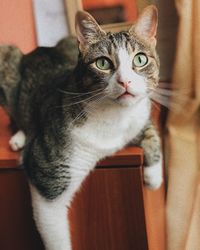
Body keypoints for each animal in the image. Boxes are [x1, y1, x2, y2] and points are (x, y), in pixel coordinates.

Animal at [0, 5, 162, 250]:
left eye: (141, 59)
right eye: (103, 63)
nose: (125, 82)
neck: (115, 116)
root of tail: (40, 49)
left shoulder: (139, 114)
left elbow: (152, 133)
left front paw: (154, 177)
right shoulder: (47, 177)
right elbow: (54, 228)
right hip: (6, 56)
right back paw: (19, 139)